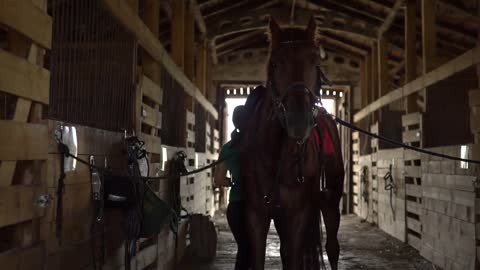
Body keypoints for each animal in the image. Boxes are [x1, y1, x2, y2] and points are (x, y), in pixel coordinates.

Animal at [240, 17, 344, 270]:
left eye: (315, 63)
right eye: (276, 64)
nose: (299, 121)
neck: (277, 154)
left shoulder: (298, 215)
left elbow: (295, 258)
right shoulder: (255, 215)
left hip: (330, 199)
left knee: (332, 248)